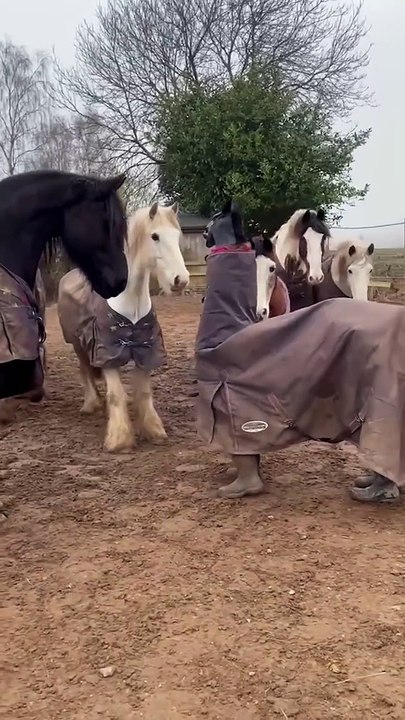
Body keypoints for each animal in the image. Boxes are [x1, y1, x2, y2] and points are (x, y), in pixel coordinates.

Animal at [57, 201, 190, 453]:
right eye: (155, 236)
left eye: (177, 236)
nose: (181, 280)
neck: (130, 304)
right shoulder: (107, 352)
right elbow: (116, 395)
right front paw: (119, 440)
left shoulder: (147, 350)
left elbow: (144, 393)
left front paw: (154, 431)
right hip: (78, 344)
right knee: (84, 371)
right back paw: (91, 404)